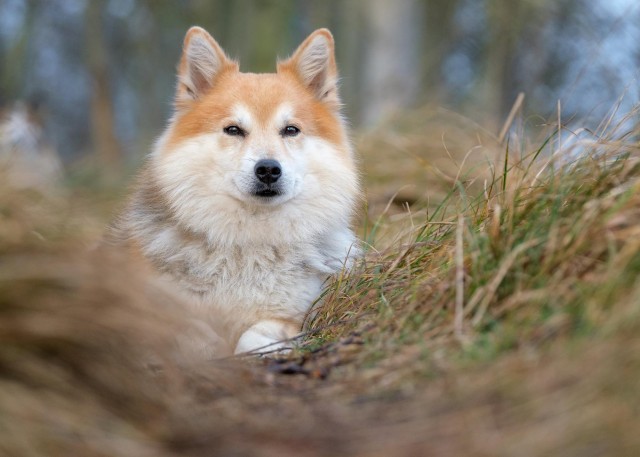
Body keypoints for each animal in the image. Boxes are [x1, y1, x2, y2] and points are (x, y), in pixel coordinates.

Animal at [110, 25, 360, 356]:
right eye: (233, 130)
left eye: (290, 130)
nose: (268, 169)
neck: (249, 248)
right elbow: (189, 334)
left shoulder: (292, 314)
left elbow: (256, 335)